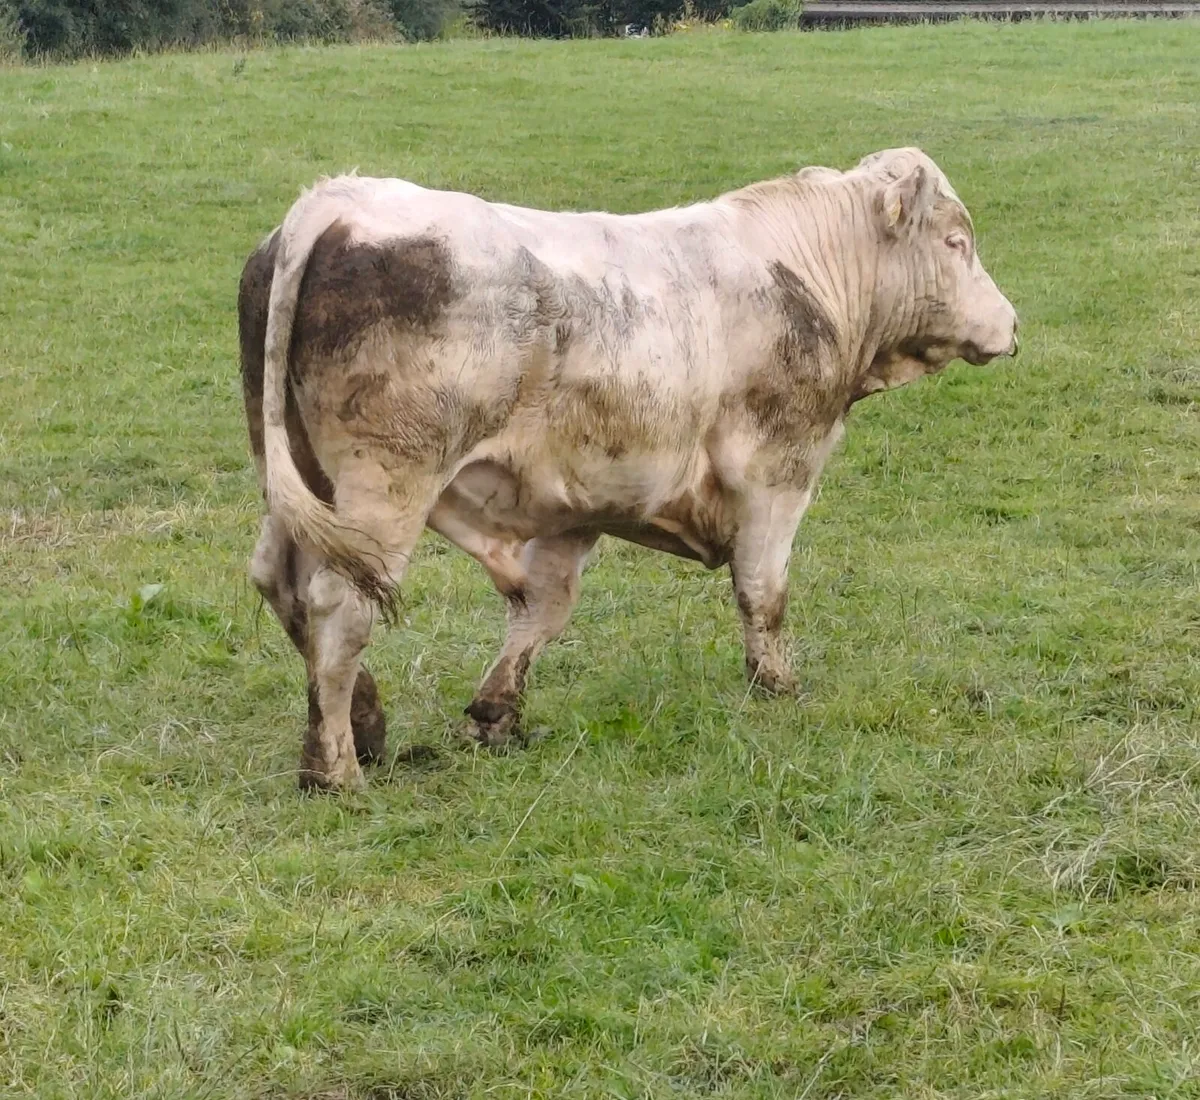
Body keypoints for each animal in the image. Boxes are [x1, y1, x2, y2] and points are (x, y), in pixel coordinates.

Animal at [238, 147, 1018, 791]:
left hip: (297, 482)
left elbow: (543, 606)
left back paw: (365, 725)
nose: (1011, 324)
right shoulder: (777, 472)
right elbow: (763, 594)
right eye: (956, 242)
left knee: (281, 583)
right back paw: (335, 770)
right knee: (340, 603)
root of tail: (338, 198)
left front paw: (496, 715)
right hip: (386, 486)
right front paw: (777, 689)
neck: (807, 278)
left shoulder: (573, 501)